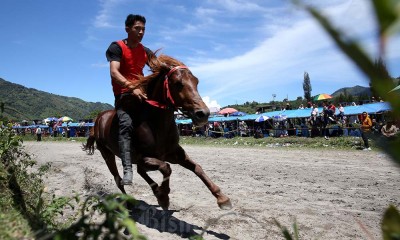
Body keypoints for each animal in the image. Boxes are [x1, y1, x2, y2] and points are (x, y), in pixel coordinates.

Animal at [83, 54, 233, 210]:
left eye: (196, 81)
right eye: (178, 83)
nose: (203, 114)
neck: (156, 125)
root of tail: (98, 119)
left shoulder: (174, 153)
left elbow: (197, 168)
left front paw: (222, 197)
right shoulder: (143, 157)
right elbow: (166, 168)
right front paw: (164, 195)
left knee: (139, 172)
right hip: (107, 155)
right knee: (119, 179)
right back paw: (129, 201)